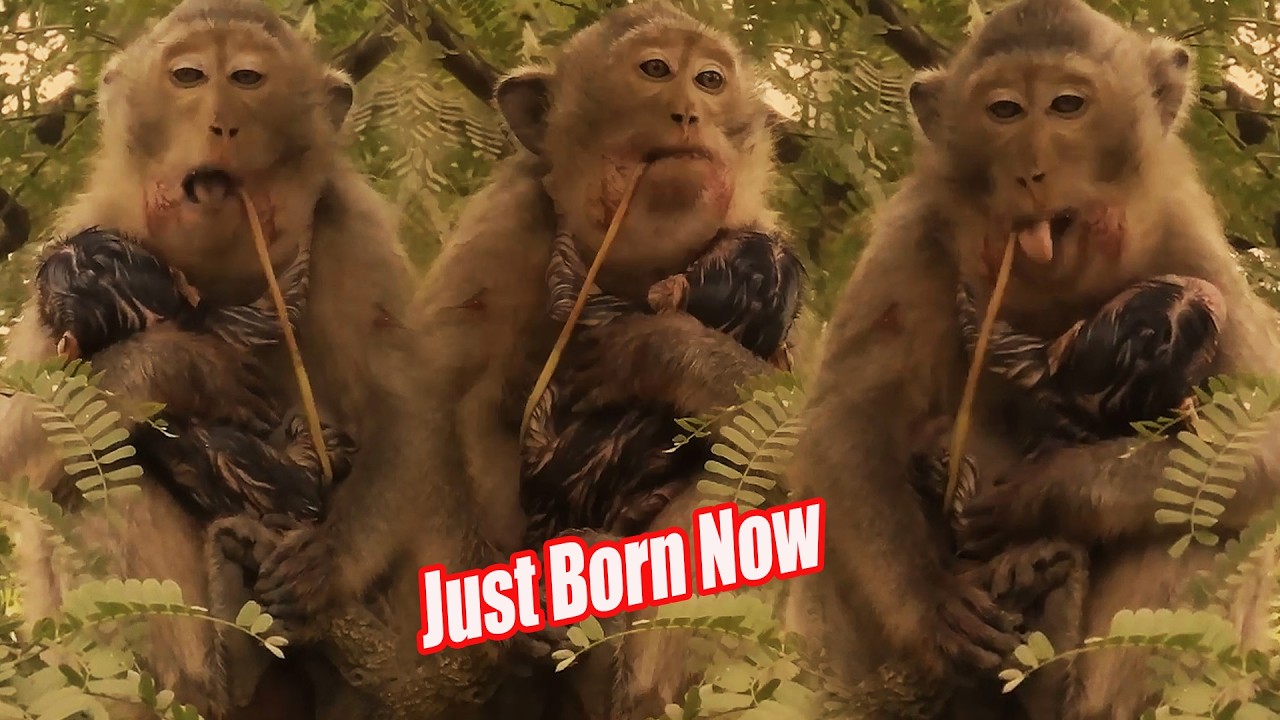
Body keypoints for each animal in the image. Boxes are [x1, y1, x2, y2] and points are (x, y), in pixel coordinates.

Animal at [780, 1, 1280, 719]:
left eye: (1067, 105)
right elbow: (845, 426)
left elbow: (1256, 439)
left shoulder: (1189, 243)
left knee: (1206, 514)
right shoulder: (915, 232)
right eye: (1006, 111)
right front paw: (933, 606)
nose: (1031, 169)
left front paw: (1045, 492)